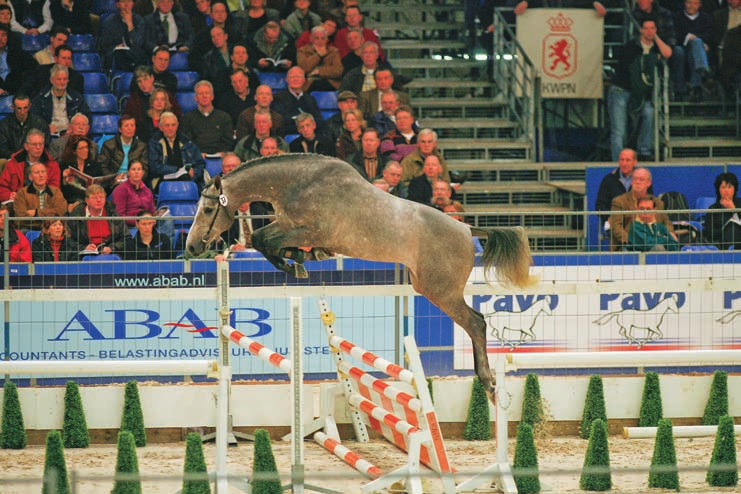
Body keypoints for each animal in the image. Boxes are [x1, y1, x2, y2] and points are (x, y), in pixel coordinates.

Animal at [184, 154, 532, 402]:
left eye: (207, 210)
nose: (191, 246)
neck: (299, 183)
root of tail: (466, 229)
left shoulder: (303, 228)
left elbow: (261, 239)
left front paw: (295, 265)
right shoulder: (292, 228)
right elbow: (265, 241)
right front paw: (304, 258)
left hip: (440, 291)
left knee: (476, 323)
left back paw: (488, 383)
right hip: (428, 286)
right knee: (475, 323)